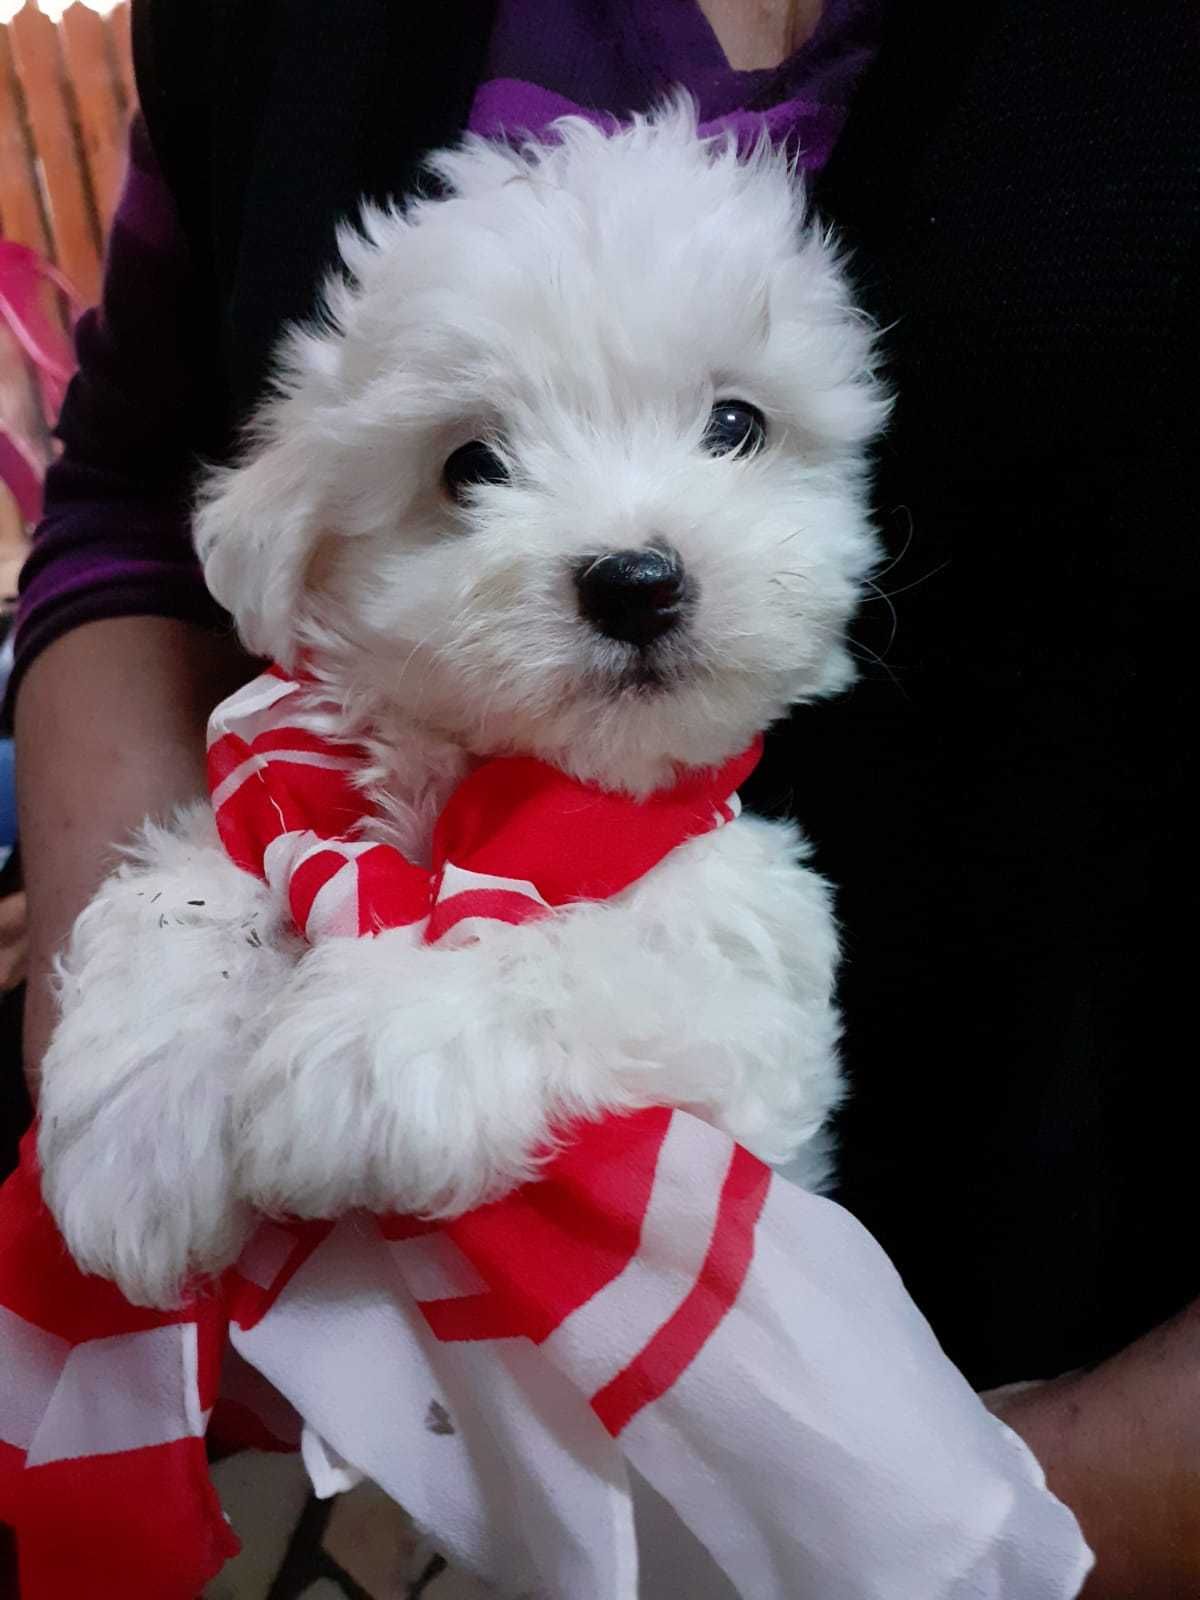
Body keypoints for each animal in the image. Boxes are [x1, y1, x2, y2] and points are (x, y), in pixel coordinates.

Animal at [37, 100, 889, 1305]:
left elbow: (593, 951)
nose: (636, 580)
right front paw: (143, 1131)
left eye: (736, 425)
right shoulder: (282, 809)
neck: (489, 794)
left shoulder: (753, 987)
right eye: (471, 465)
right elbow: (195, 894)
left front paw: (373, 1041)